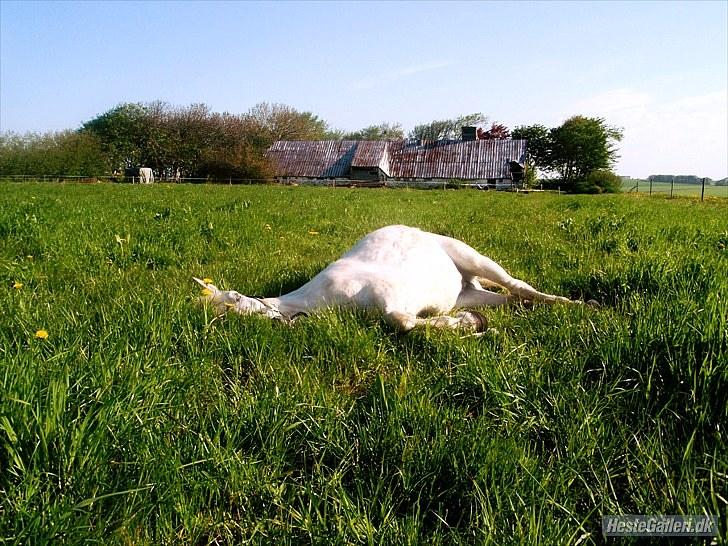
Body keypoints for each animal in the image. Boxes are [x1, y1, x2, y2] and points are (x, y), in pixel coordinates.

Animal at [195, 222, 580, 332]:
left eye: (232, 303)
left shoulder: (391, 297)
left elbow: (403, 322)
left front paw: (467, 325)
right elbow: (410, 323)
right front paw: (470, 322)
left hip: (472, 257)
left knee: (518, 285)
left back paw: (575, 304)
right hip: (468, 292)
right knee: (510, 297)